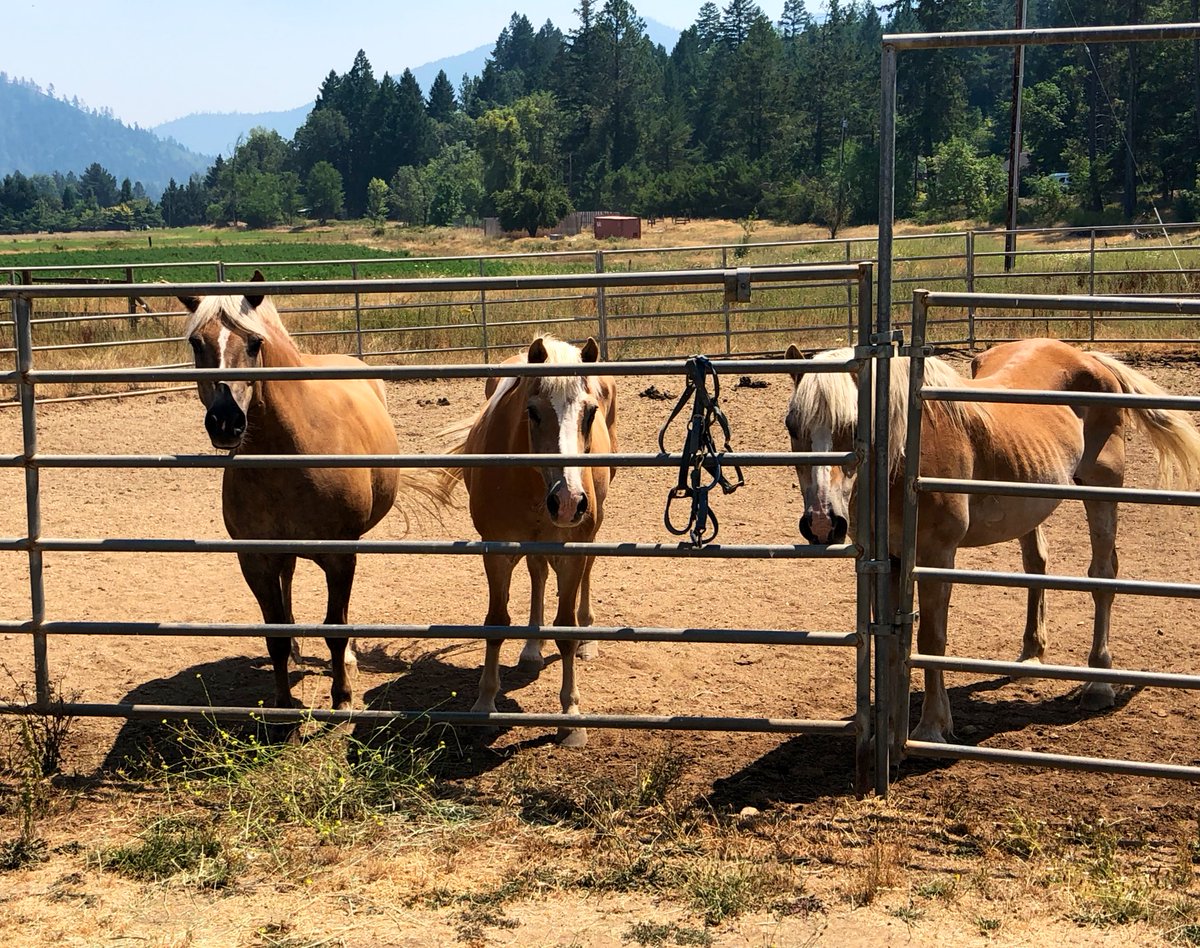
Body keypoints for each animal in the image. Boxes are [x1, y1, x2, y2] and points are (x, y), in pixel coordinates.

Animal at [180, 271, 445, 712]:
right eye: (197, 343)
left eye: (254, 343)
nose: (225, 421)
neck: (289, 452)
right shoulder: (255, 560)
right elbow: (274, 634)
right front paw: (284, 704)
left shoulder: (339, 556)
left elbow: (335, 627)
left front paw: (342, 698)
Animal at [441, 335, 618, 748]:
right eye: (533, 412)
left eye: (590, 412)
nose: (568, 501)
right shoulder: (497, 548)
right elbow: (496, 621)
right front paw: (484, 705)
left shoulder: (571, 550)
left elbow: (566, 628)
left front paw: (570, 717)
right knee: (538, 575)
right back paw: (532, 649)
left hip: (591, 531)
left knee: (587, 575)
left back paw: (588, 640)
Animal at [784, 337, 1200, 746]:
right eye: (792, 426)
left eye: (854, 426)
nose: (821, 523)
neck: (904, 456)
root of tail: (1088, 357)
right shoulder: (887, 558)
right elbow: (889, 642)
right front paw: (886, 731)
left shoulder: (936, 556)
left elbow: (931, 638)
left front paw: (932, 726)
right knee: (1037, 565)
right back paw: (1031, 655)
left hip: (1102, 492)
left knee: (1103, 575)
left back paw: (1098, 684)